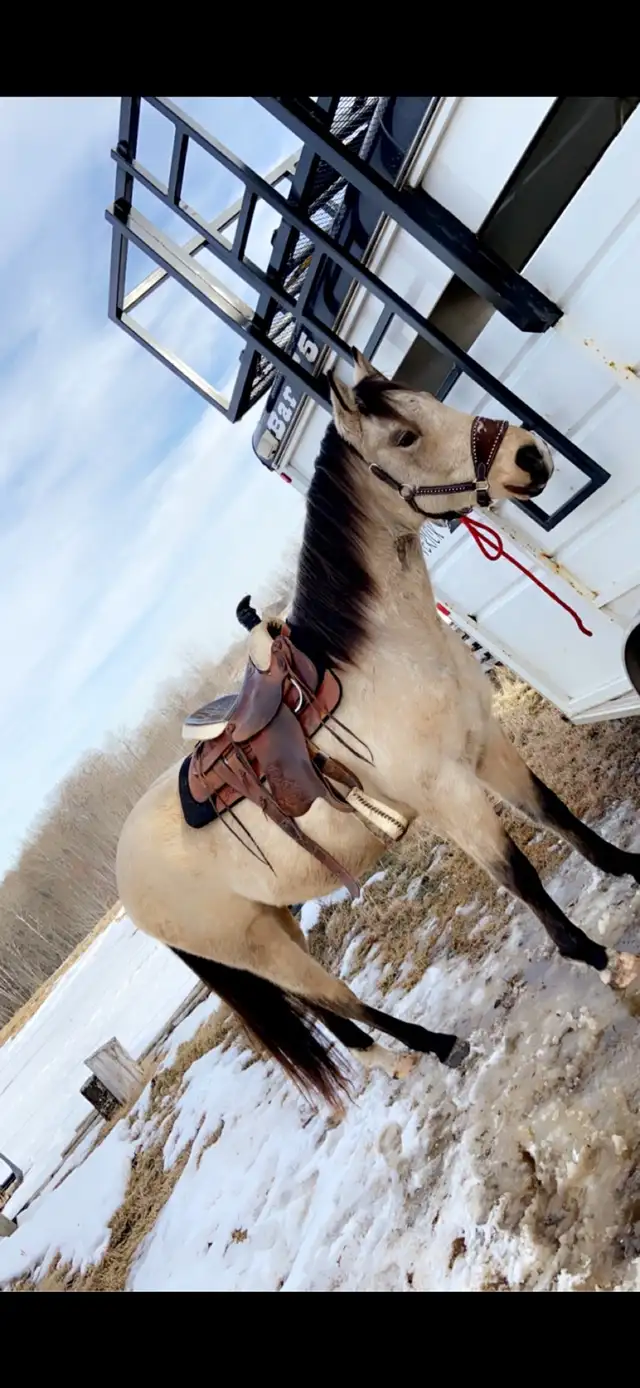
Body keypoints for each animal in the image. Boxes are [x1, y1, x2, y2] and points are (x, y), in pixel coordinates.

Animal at [116, 351, 640, 1109]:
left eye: (428, 398)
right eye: (403, 437)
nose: (529, 455)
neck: (389, 656)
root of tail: (124, 874)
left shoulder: (488, 750)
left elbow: (567, 824)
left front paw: (634, 872)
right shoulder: (451, 794)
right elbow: (523, 879)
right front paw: (603, 961)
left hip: (276, 925)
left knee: (329, 1015)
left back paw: (406, 1058)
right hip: (255, 950)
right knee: (339, 1002)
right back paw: (436, 1048)